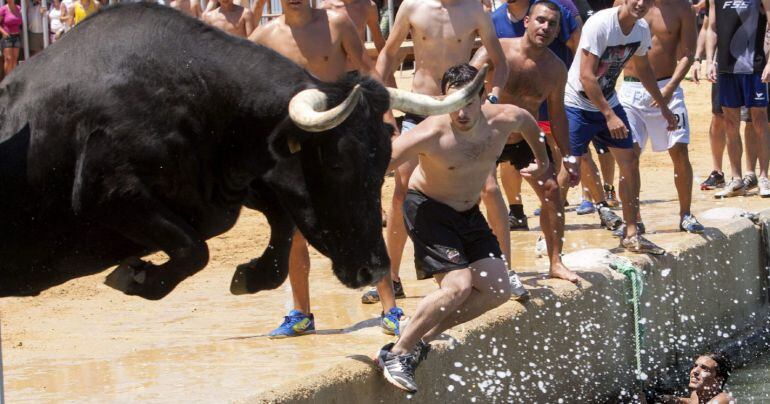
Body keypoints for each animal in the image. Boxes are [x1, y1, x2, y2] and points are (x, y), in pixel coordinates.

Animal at [0, 3, 392, 300]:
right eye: (338, 164)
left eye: (382, 165)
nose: (375, 268)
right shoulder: (107, 194)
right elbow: (194, 249)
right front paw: (136, 276)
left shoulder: (232, 186)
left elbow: (282, 227)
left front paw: (253, 275)